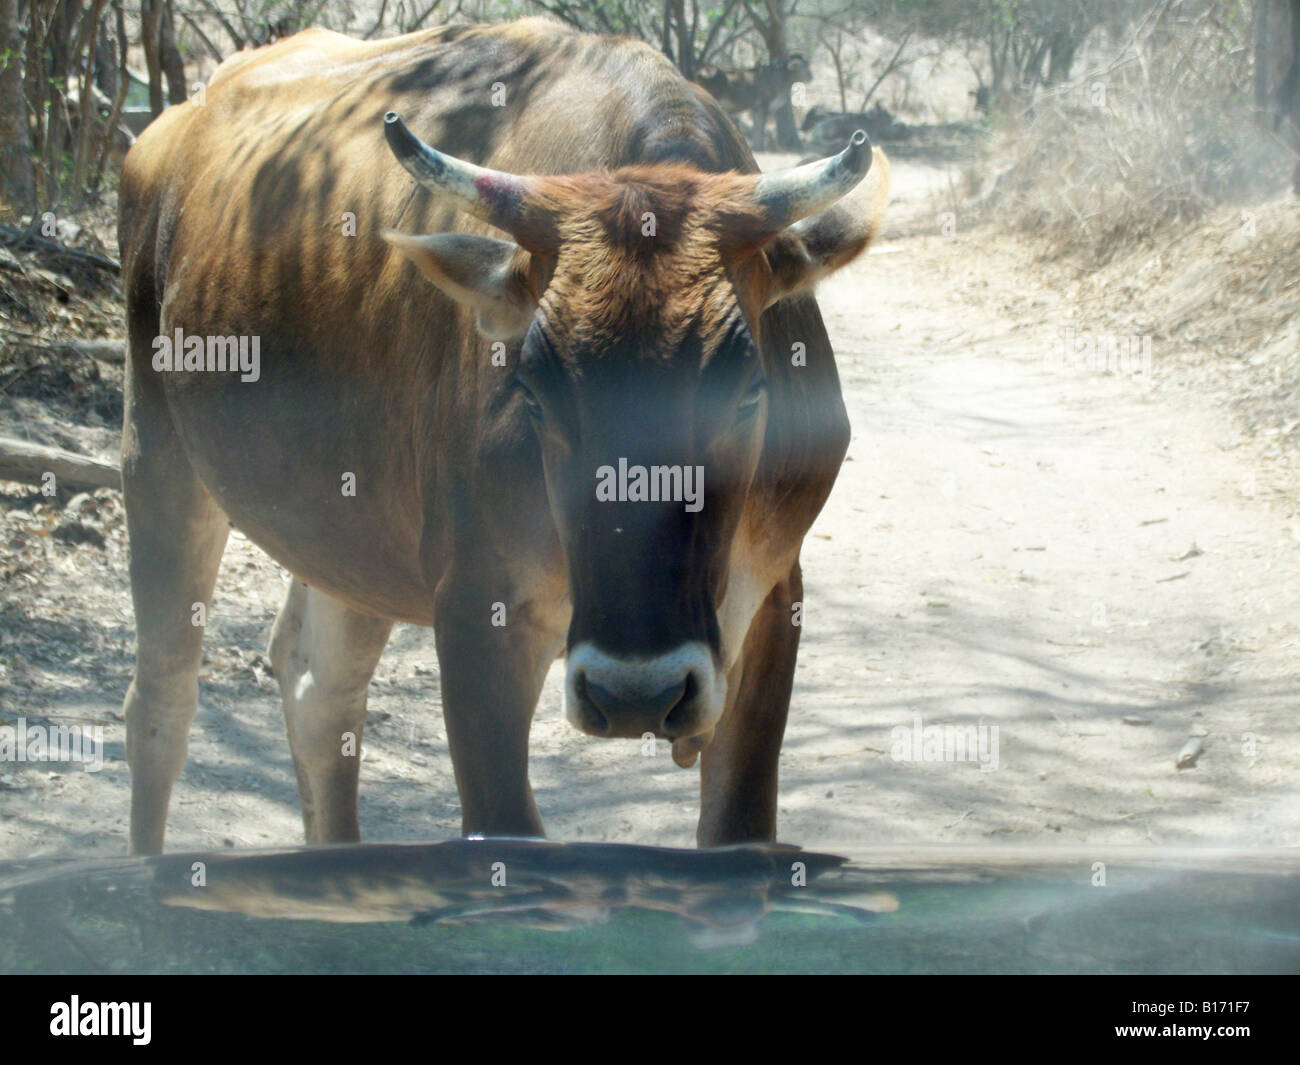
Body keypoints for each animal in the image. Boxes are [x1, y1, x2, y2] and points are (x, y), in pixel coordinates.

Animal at [116, 18, 889, 858]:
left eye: (748, 387)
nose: (636, 692)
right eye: (535, 388)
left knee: (318, 688)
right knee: (161, 701)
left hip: (350, 530)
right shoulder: (478, 608)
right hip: (158, 456)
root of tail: (165, 131)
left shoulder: (773, 594)